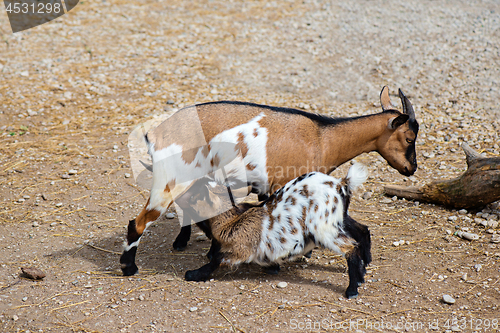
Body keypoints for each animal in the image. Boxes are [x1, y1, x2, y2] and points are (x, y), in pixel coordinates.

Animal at [120, 85, 418, 274]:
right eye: (409, 138)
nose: (411, 168)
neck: (323, 138)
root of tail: (158, 133)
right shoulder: (284, 185)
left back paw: (181, 243)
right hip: (168, 182)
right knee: (138, 223)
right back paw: (129, 267)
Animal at [184, 163, 372, 298]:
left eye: (193, 196)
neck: (231, 221)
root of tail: (340, 183)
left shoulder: (242, 250)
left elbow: (217, 259)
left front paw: (193, 274)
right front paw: (273, 267)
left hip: (323, 228)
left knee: (351, 248)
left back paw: (352, 290)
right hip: (338, 218)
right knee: (362, 230)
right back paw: (363, 273)